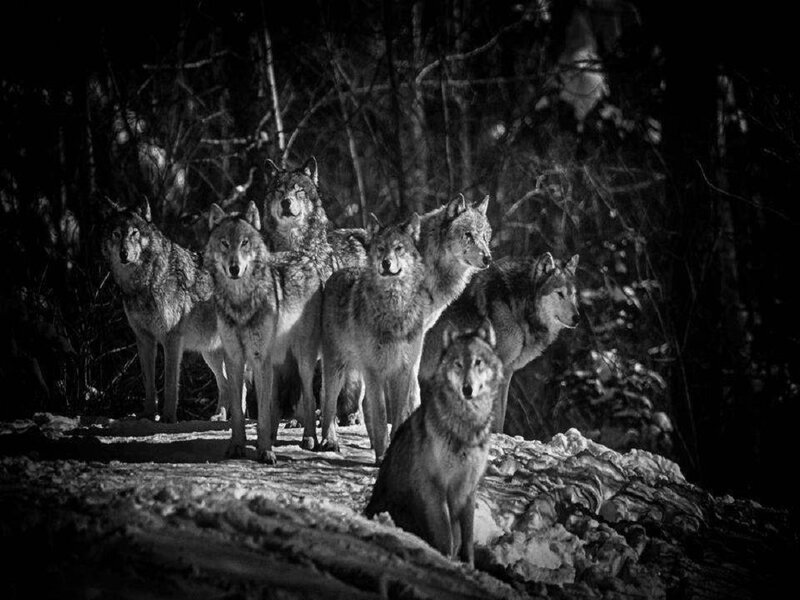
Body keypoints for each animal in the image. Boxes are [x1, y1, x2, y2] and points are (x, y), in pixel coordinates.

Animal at [101, 198, 229, 423]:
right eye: (116, 234)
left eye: (134, 233)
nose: (124, 254)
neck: (144, 284)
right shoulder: (144, 339)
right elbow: (149, 383)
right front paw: (148, 415)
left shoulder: (172, 339)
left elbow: (170, 383)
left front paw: (168, 417)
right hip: (210, 354)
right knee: (228, 384)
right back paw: (221, 417)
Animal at [204, 201, 324, 461]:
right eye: (225, 243)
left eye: (244, 243)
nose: (234, 268)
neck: (240, 303)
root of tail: (306, 258)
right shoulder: (235, 358)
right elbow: (240, 411)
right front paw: (237, 447)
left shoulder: (259, 358)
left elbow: (261, 413)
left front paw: (265, 452)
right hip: (277, 362)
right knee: (276, 403)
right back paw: (272, 437)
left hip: (302, 360)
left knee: (309, 399)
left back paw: (309, 439)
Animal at [319, 213, 428, 462]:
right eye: (380, 249)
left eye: (398, 248)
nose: (386, 263)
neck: (394, 309)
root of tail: (337, 273)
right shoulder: (376, 371)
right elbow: (380, 416)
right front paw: (381, 456)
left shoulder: (403, 371)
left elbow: (398, 416)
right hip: (338, 368)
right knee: (328, 403)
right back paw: (330, 441)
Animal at [364, 322, 503, 565]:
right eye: (458, 364)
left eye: (478, 362)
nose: (467, 389)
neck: (465, 427)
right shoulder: (435, 486)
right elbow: (446, 535)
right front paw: (446, 561)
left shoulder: (469, 488)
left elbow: (467, 540)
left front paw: (468, 565)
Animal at [420, 252, 580, 433]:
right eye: (559, 294)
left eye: (573, 294)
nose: (577, 318)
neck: (515, 307)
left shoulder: (507, 371)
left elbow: (501, 415)